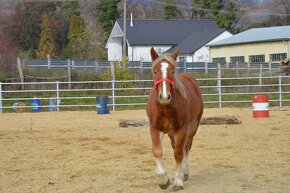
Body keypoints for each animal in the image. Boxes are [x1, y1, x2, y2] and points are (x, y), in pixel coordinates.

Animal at [146, 47, 203, 191]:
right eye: (155, 71)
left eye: (172, 71)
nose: (165, 97)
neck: (166, 107)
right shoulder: (154, 128)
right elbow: (157, 151)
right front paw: (163, 181)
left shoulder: (182, 129)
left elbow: (178, 154)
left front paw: (178, 181)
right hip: (171, 133)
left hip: (193, 126)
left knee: (185, 147)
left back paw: (185, 172)